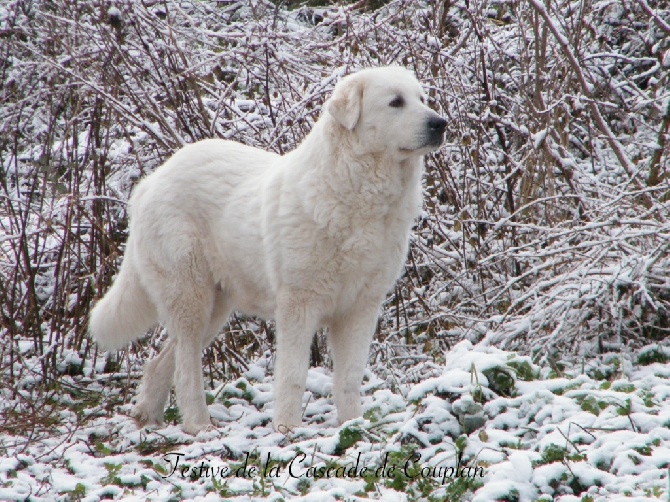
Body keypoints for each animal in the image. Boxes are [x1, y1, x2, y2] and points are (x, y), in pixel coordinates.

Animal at [89, 66, 446, 436]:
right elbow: (292, 374)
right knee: (186, 367)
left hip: (215, 306)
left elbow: (349, 377)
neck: (357, 193)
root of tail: (149, 181)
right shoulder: (298, 304)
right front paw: (287, 429)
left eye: (422, 99)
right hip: (190, 297)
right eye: (395, 102)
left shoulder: (361, 307)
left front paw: (354, 425)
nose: (440, 123)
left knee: (163, 362)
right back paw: (198, 424)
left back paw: (147, 416)